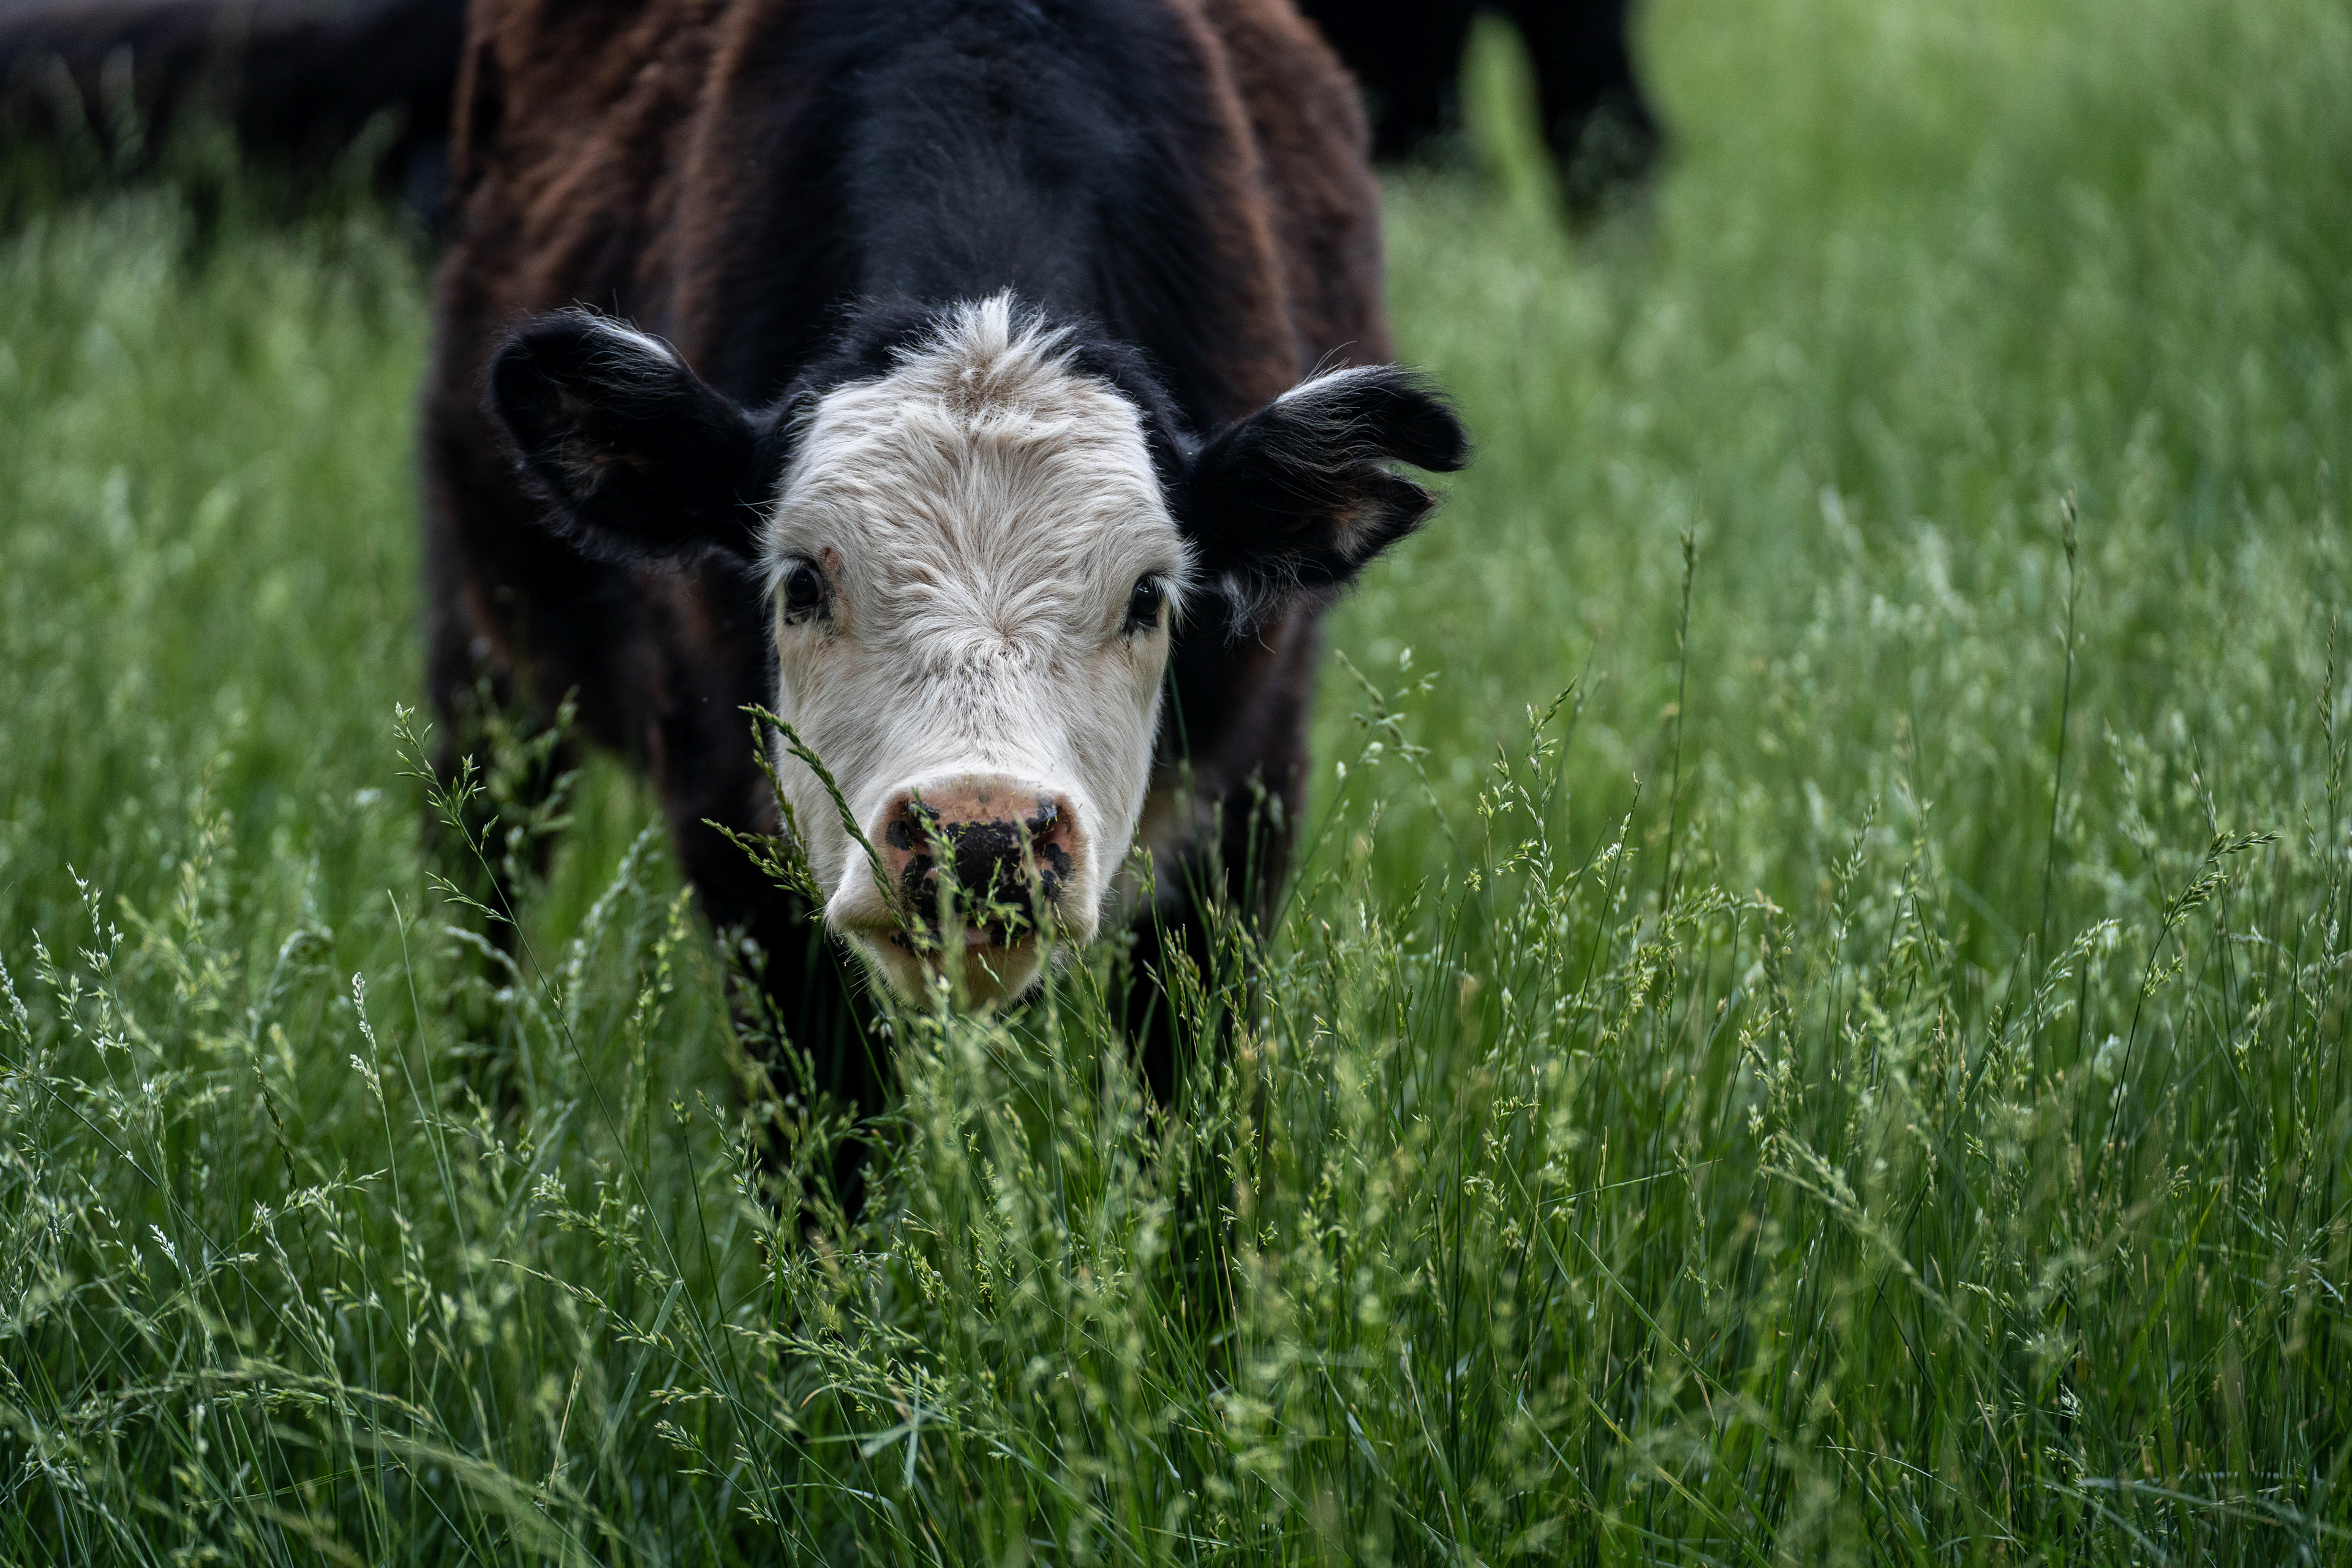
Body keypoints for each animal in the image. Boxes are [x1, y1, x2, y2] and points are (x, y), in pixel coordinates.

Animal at [421, 0, 1468, 1133]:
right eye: (802, 583)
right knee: (484, 892)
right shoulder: (730, 816)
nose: (981, 836)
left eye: (1149, 596)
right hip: (481, 662)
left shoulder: (1244, 804)